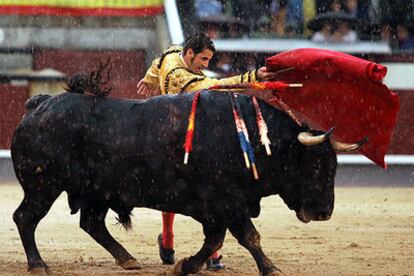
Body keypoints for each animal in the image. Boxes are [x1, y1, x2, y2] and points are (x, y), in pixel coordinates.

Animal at [11, 89, 338, 274]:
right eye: (315, 165)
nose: (325, 213)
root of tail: (39, 105)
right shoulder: (228, 202)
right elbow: (249, 236)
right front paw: (271, 269)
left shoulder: (216, 209)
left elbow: (215, 240)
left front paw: (185, 266)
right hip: (43, 187)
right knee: (25, 218)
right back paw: (38, 265)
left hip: (96, 192)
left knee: (91, 223)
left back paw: (128, 259)